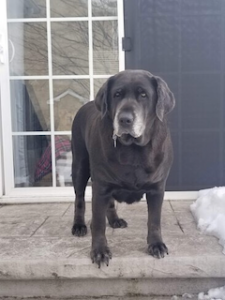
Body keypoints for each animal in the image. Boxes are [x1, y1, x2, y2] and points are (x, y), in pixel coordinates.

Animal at [71, 69, 175, 268]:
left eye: (144, 95)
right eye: (117, 94)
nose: (125, 119)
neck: (133, 149)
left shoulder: (157, 188)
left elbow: (154, 220)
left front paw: (156, 244)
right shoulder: (100, 187)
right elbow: (98, 223)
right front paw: (100, 251)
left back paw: (114, 220)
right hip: (79, 165)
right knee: (79, 198)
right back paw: (79, 225)